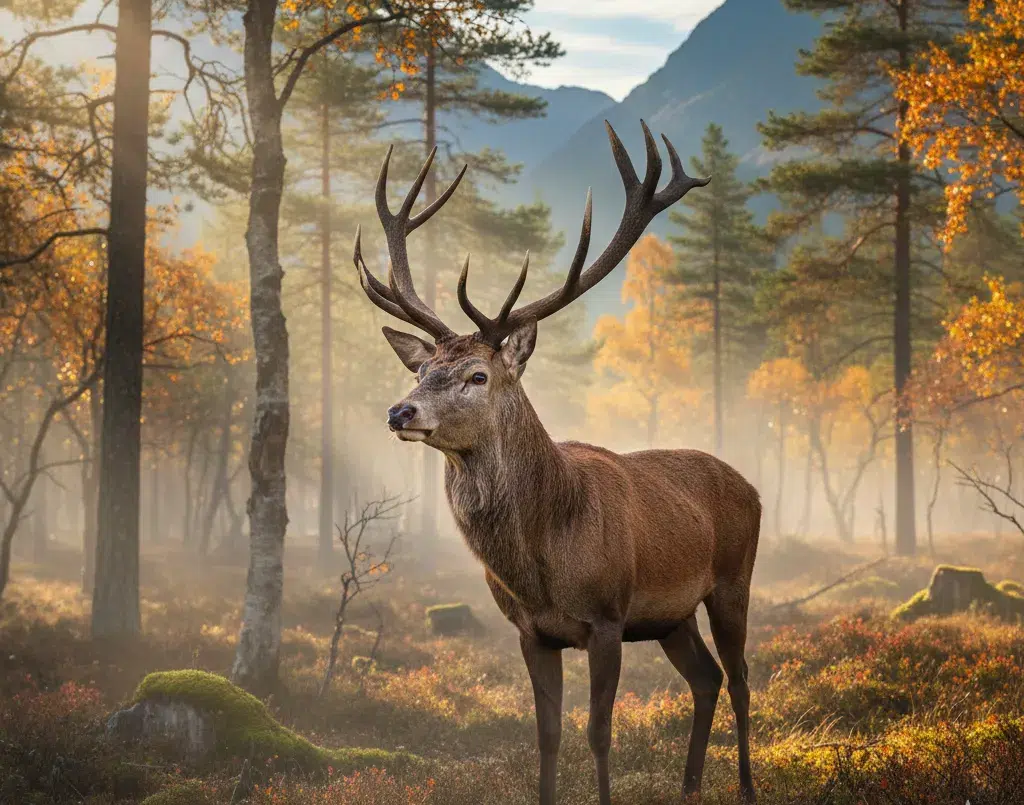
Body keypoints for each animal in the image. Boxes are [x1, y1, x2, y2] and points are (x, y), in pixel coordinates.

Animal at [353, 120, 762, 804]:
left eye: (477, 374)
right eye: (421, 369)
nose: (399, 412)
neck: (543, 565)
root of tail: (752, 486)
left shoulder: (607, 617)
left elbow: (598, 733)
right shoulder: (531, 631)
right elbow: (546, 736)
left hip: (734, 579)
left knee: (741, 681)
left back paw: (748, 788)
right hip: (672, 617)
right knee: (704, 679)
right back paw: (688, 787)